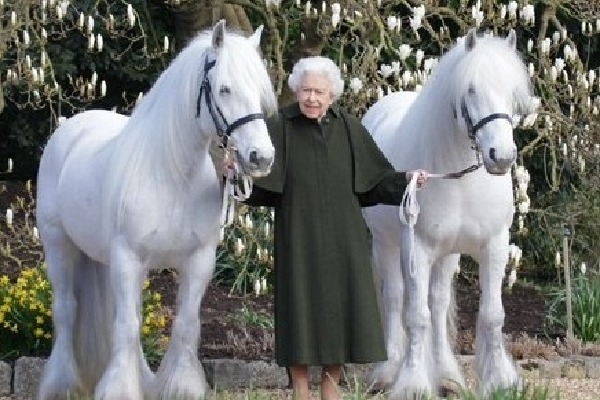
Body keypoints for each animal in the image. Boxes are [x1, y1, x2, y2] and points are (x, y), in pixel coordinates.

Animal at [38, 21, 278, 400]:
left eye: (259, 91)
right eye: (224, 89)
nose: (261, 157)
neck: (171, 175)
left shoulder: (198, 260)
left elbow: (184, 323)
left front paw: (179, 386)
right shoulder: (128, 256)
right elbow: (126, 326)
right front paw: (119, 390)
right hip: (59, 245)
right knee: (66, 310)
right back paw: (61, 385)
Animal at [364, 29, 532, 398]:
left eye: (512, 92)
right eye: (470, 90)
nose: (502, 156)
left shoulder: (494, 246)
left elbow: (491, 315)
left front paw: (500, 380)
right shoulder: (417, 248)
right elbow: (416, 317)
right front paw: (413, 383)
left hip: (447, 254)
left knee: (439, 304)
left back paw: (447, 376)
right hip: (386, 245)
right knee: (396, 299)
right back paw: (388, 372)